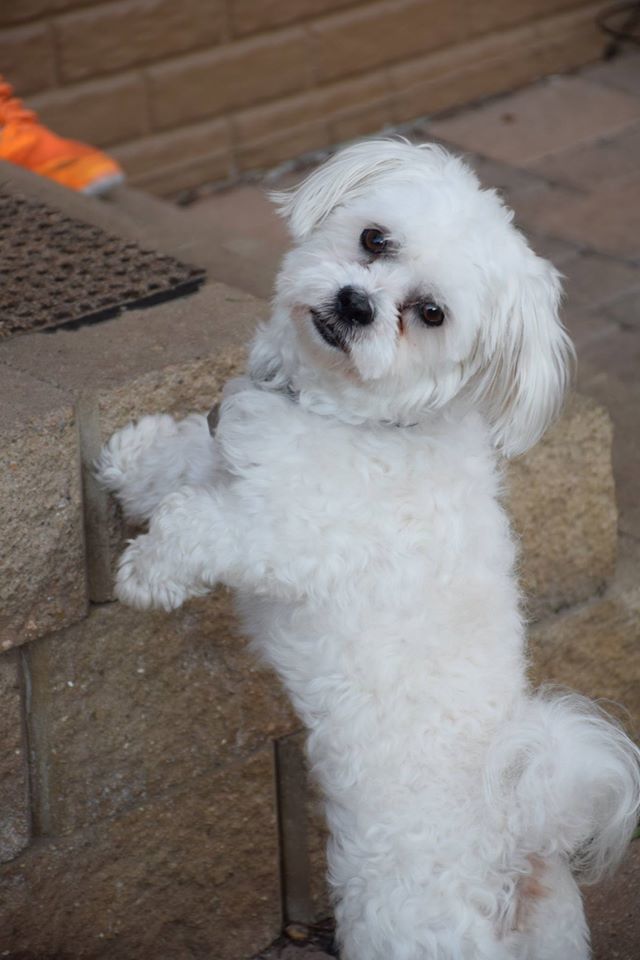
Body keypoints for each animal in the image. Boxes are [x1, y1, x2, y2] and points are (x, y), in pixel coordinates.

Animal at [96, 141, 640, 960]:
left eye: (431, 314)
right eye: (374, 239)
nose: (357, 303)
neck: (357, 420)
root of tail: (520, 849)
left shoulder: (283, 533)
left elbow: (196, 521)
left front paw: (148, 570)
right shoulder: (240, 464)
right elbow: (191, 455)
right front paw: (134, 459)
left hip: (400, 924)